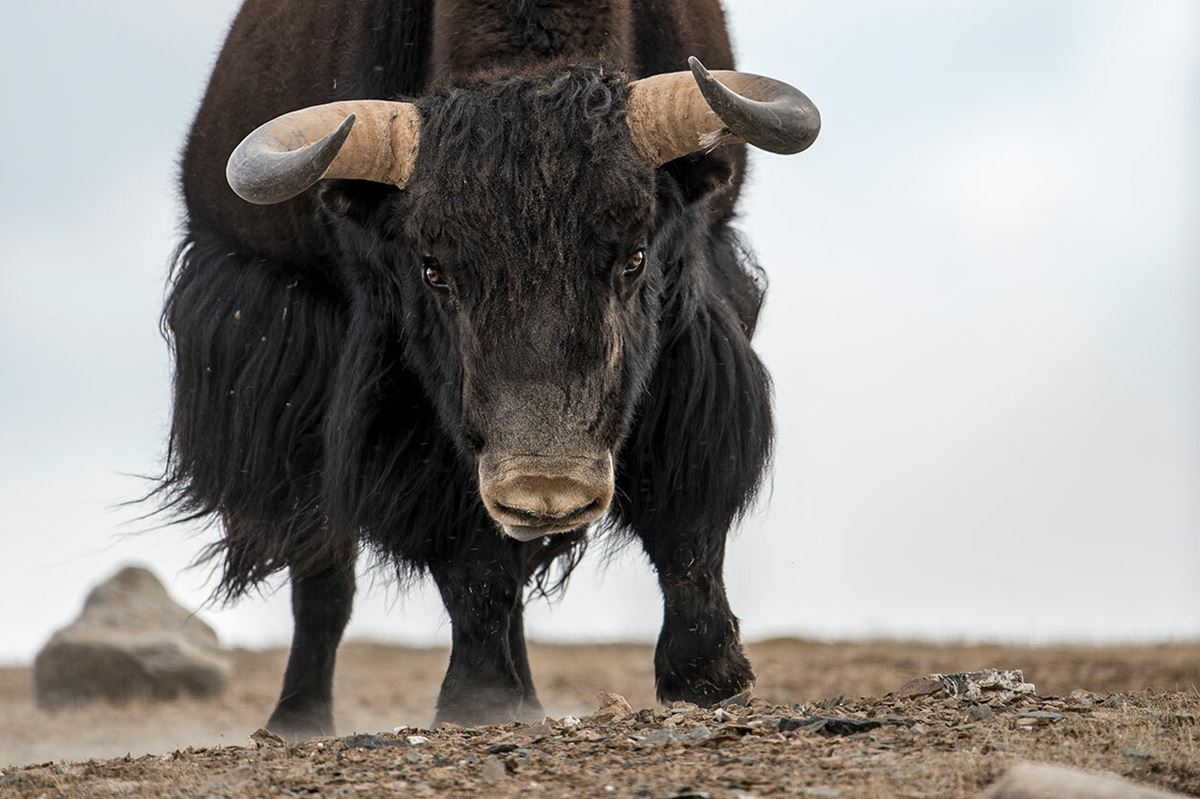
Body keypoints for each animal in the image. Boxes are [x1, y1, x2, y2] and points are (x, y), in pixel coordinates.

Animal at [162, 0, 819, 739]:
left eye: (635, 256)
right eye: (434, 269)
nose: (546, 486)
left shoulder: (695, 306)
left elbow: (688, 494)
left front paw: (708, 676)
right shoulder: (404, 389)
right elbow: (465, 546)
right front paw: (478, 698)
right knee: (324, 564)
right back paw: (299, 718)